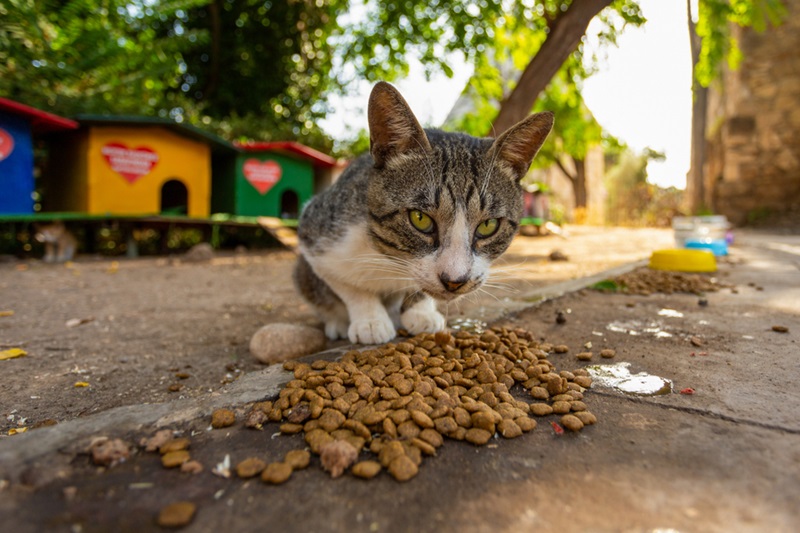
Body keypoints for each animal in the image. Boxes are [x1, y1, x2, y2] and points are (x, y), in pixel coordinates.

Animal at [294, 81, 552, 342]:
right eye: (420, 219)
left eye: (488, 225)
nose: (454, 281)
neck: (390, 259)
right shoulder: (317, 233)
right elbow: (348, 286)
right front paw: (371, 320)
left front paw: (420, 311)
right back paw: (338, 322)